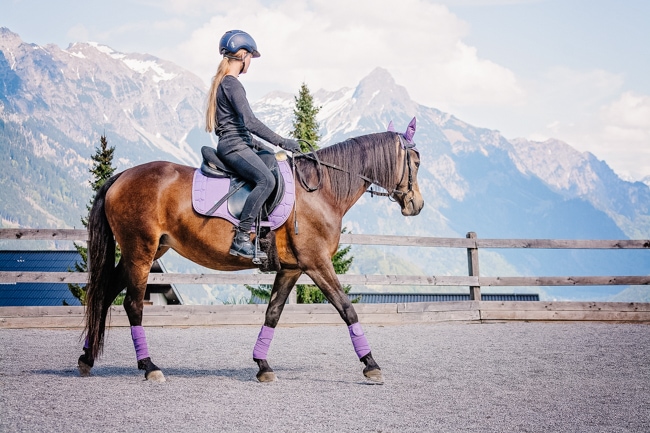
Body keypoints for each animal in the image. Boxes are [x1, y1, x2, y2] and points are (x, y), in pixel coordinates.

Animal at [78, 119, 424, 384]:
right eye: (416, 162)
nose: (416, 205)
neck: (320, 191)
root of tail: (121, 177)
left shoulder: (292, 268)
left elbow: (273, 313)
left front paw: (262, 366)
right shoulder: (317, 263)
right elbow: (347, 308)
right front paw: (371, 364)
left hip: (144, 252)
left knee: (104, 295)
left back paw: (87, 358)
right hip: (141, 251)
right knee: (133, 305)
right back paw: (149, 367)